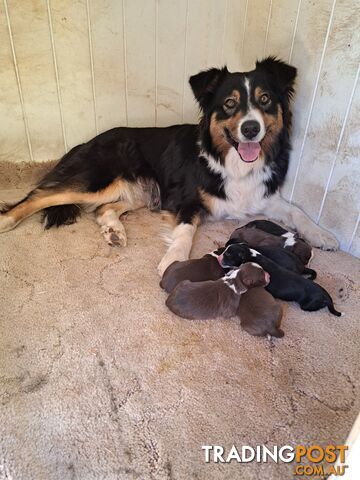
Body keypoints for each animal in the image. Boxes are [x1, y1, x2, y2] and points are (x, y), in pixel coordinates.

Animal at [0, 56, 338, 274]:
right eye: (229, 103)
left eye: (265, 99)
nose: (251, 128)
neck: (229, 159)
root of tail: (86, 141)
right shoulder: (184, 200)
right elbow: (186, 231)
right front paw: (174, 259)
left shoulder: (262, 195)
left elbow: (296, 210)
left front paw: (322, 235)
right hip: (96, 180)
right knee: (39, 195)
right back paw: (7, 220)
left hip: (141, 191)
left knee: (103, 209)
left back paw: (114, 231)